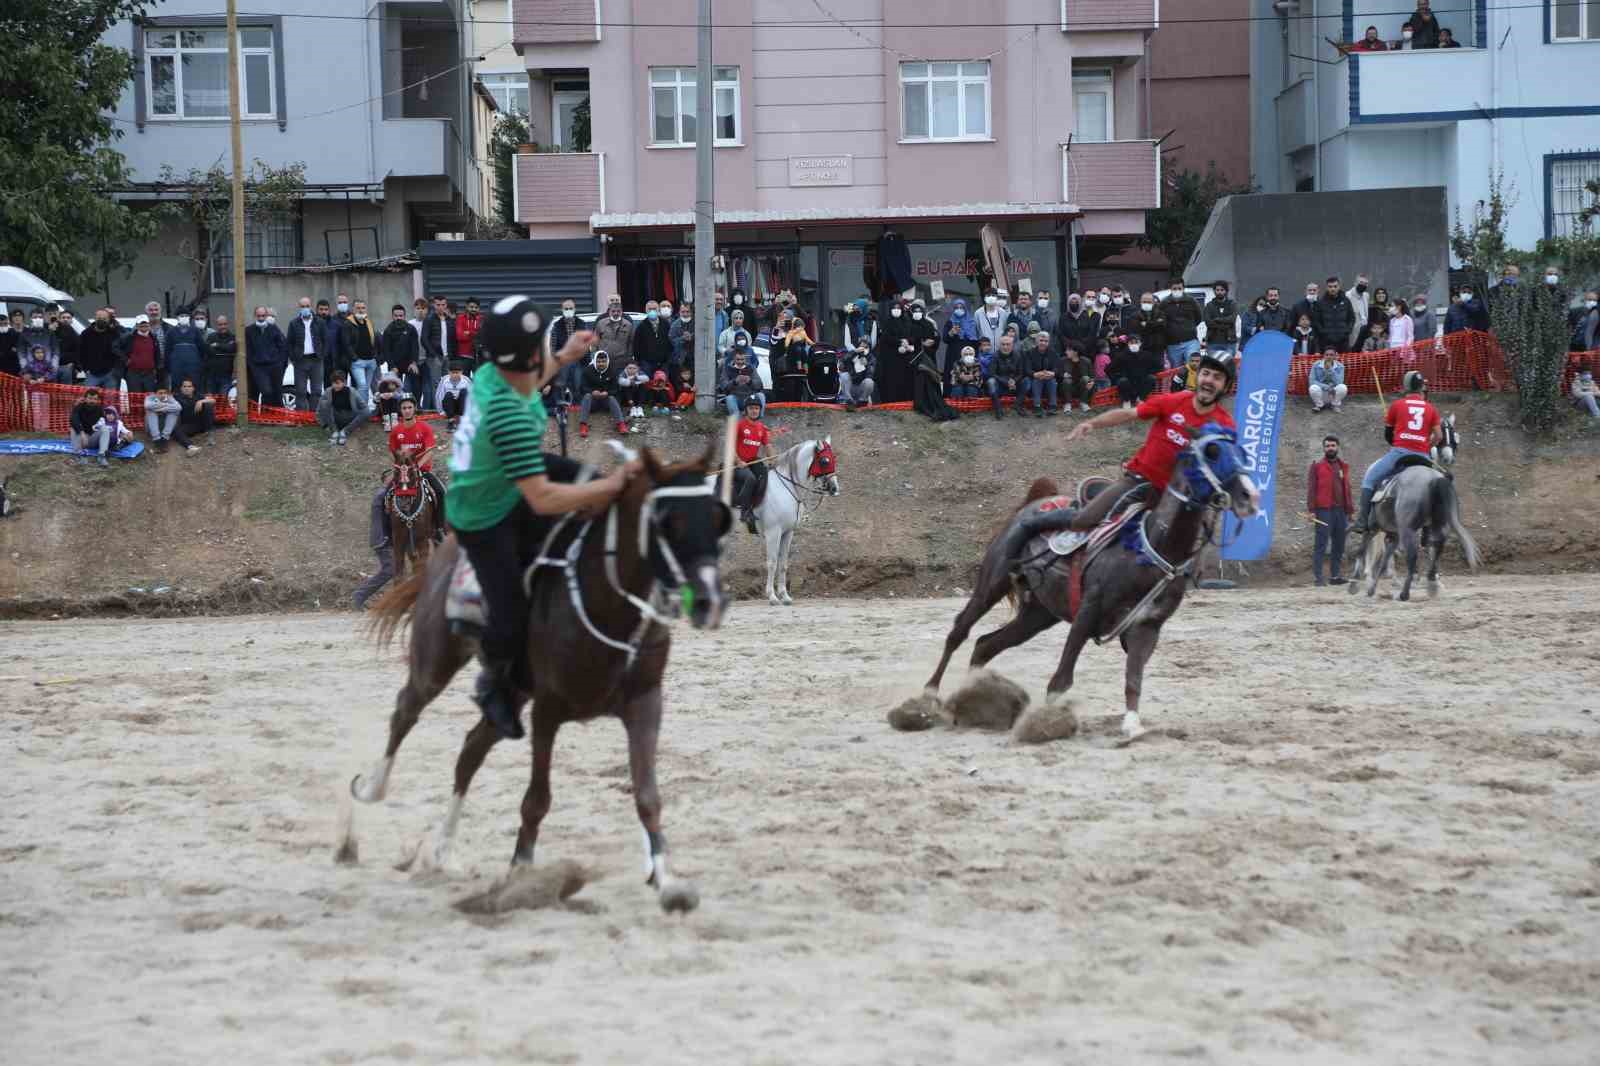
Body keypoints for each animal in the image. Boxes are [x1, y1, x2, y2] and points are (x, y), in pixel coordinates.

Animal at [350, 438, 732, 902]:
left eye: (717, 518)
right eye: (666, 522)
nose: (710, 600)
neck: (609, 605)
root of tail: (444, 553)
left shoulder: (645, 705)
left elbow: (647, 796)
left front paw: (666, 878)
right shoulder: (547, 712)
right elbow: (536, 800)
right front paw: (521, 873)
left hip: (511, 696)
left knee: (470, 750)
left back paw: (443, 851)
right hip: (435, 663)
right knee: (406, 711)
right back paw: (370, 793)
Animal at [928, 422, 1260, 739]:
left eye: (1243, 453)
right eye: (1212, 452)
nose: (1250, 495)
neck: (1152, 547)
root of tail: (1034, 501)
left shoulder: (1147, 627)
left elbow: (1133, 680)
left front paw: (1132, 728)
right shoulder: (1088, 612)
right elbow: (1061, 680)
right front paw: (1046, 722)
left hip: (1038, 614)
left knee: (986, 645)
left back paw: (975, 698)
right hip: (992, 584)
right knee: (959, 632)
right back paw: (929, 698)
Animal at [1344, 457, 1478, 601]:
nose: (1449, 459)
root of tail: (1434, 478)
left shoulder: (1373, 529)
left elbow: (1362, 551)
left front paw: (1354, 583)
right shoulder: (1393, 535)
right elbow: (1384, 560)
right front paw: (1371, 589)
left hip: (1407, 530)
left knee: (1413, 556)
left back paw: (1405, 593)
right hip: (1434, 526)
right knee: (1437, 546)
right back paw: (1431, 583)